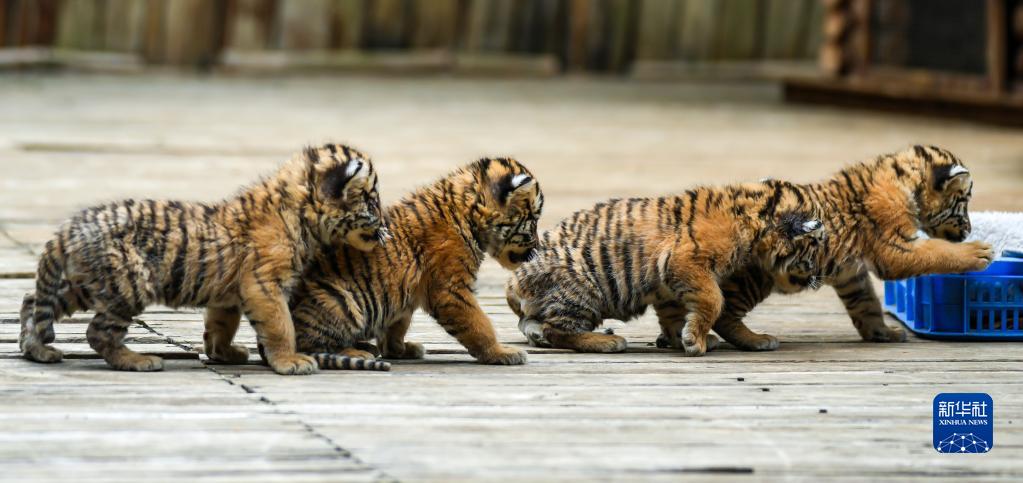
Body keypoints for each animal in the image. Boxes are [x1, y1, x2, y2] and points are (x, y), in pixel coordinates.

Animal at [19, 143, 387, 375]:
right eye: (372, 201)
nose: (385, 226)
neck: (301, 214)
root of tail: (70, 227)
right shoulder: (264, 284)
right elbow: (281, 325)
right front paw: (290, 361)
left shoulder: (231, 294)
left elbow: (222, 325)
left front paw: (224, 353)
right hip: (129, 284)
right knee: (98, 332)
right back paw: (138, 360)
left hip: (88, 283)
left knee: (33, 301)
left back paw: (37, 350)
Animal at [247, 157, 543, 367]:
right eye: (534, 220)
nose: (538, 249)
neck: (467, 213)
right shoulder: (451, 290)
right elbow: (478, 324)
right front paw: (500, 352)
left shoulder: (404, 295)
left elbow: (396, 325)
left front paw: (399, 349)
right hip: (340, 300)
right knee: (309, 344)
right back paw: (357, 352)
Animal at [506, 181, 827, 356]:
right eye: (817, 243)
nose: (818, 277)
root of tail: (512, 283)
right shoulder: (686, 262)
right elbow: (713, 300)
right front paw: (695, 341)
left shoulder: (668, 285)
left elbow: (675, 315)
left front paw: (684, 338)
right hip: (582, 284)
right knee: (557, 330)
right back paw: (607, 341)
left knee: (535, 325)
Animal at [660, 145, 992, 351]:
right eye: (964, 200)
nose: (969, 230)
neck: (904, 181)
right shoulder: (896, 248)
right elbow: (936, 251)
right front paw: (979, 253)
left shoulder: (851, 273)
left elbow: (867, 304)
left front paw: (884, 333)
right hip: (754, 278)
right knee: (724, 311)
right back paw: (757, 340)